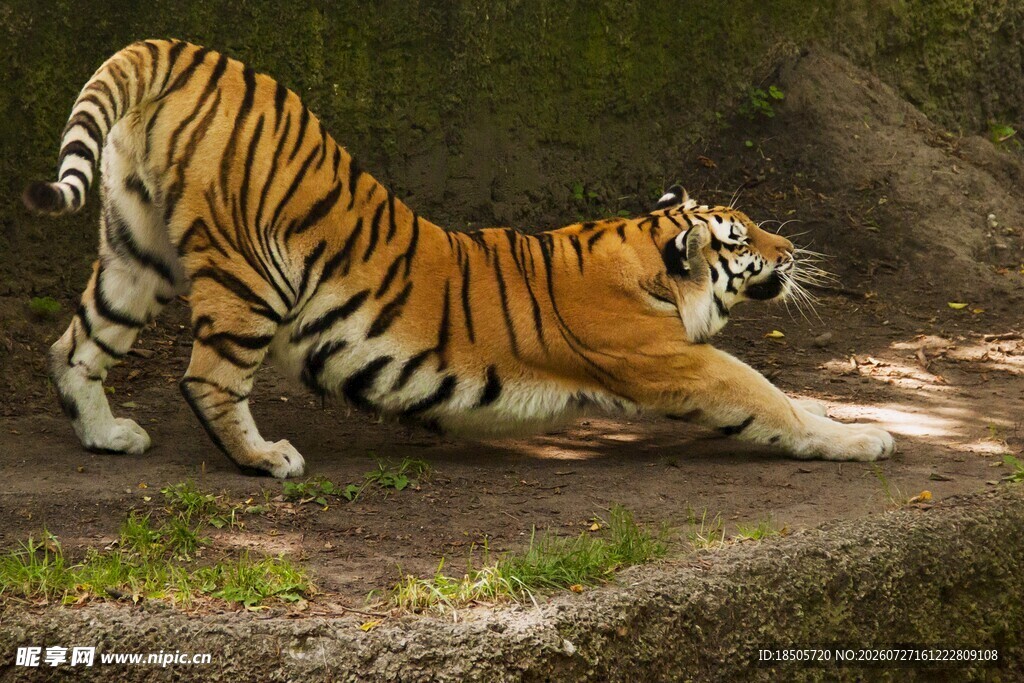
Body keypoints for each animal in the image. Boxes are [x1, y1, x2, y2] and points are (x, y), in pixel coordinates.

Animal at [23, 40, 895, 478]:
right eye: (741, 238)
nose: (793, 249)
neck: (646, 258)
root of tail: (186, 51)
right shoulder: (677, 362)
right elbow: (772, 400)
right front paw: (867, 439)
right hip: (250, 276)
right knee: (207, 379)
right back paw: (267, 459)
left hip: (136, 252)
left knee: (74, 345)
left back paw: (108, 436)